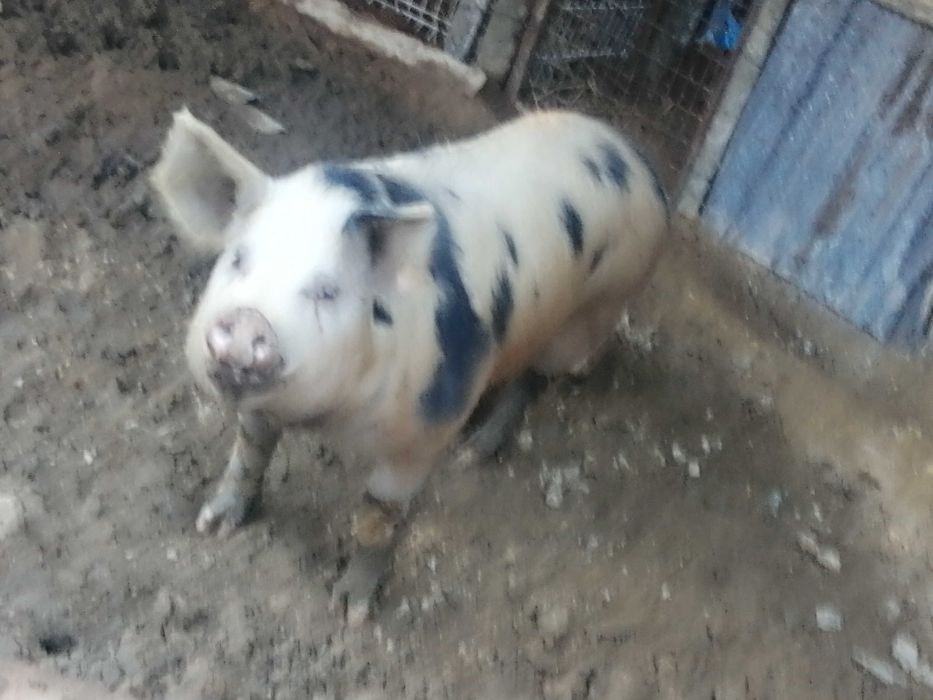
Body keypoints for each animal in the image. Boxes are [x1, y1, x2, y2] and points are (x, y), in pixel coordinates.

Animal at [150, 106, 669, 624]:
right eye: (238, 259)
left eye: (327, 291)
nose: (245, 324)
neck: (327, 419)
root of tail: (639, 160)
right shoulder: (262, 405)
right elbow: (249, 452)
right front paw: (212, 525)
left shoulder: (425, 429)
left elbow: (378, 516)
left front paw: (351, 609)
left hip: (592, 313)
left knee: (535, 381)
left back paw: (472, 453)